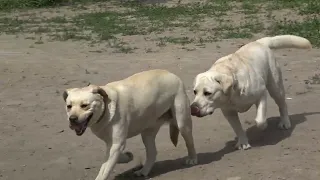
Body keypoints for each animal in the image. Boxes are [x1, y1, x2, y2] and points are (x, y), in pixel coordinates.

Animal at [62, 69, 198, 180]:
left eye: (84, 105)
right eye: (69, 106)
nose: (72, 119)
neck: (106, 109)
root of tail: (171, 74)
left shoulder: (116, 144)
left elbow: (104, 170)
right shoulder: (112, 143)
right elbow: (116, 158)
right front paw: (127, 157)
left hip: (182, 123)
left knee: (190, 142)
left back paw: (192, 158)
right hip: (147, 133)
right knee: (152, 153)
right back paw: (143, 171)